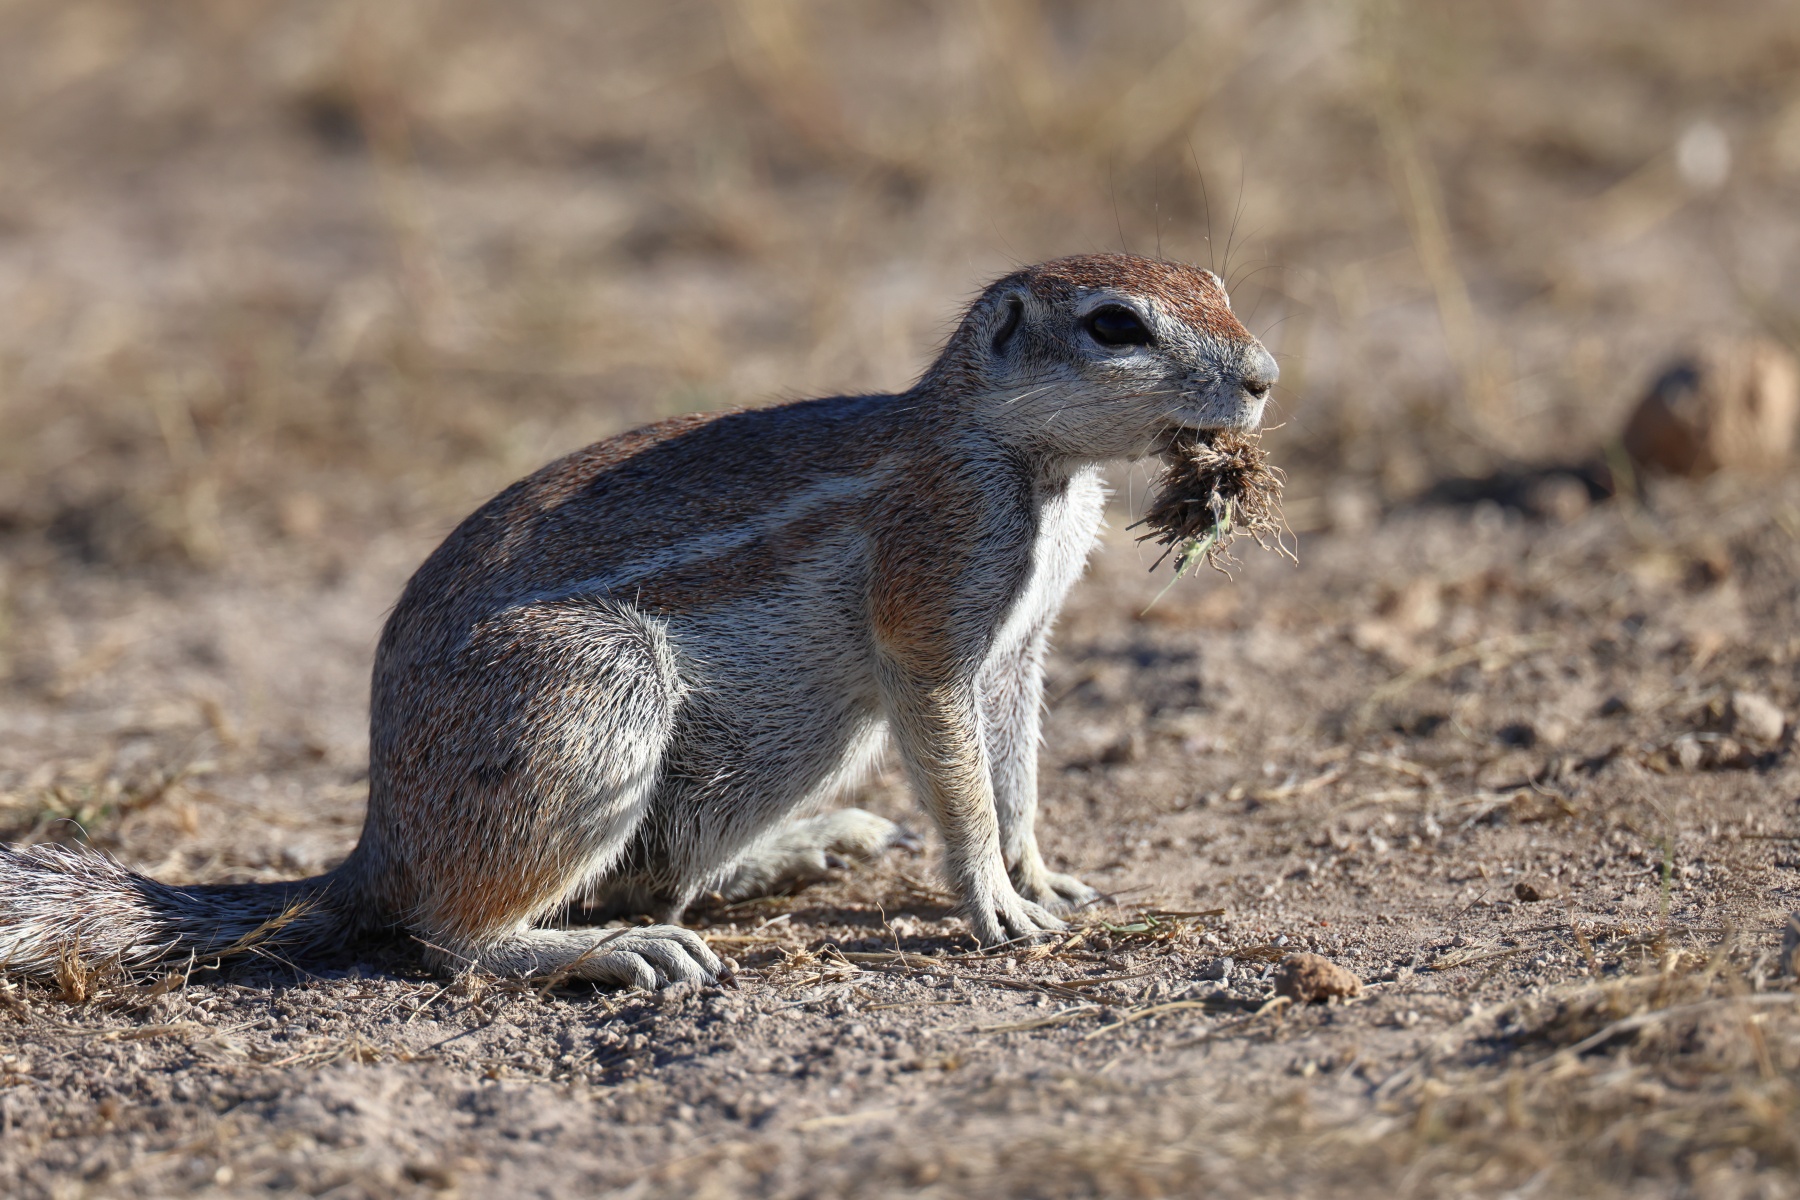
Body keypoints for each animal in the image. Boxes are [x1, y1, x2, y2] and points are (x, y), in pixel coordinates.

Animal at [0, 254, 1275, 990]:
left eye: (1217, 278)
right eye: (1115, 326)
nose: (1264, 375)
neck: (1026, 462)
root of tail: (377, 845)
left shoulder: (1017, 652)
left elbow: (1017, 777)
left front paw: (1044, 875)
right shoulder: (932, 606)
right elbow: (962, 783)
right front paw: (996, 904)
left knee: (644, 868)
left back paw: (793, 850)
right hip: (591, 695)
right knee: (447, 937)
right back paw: (606, 952)